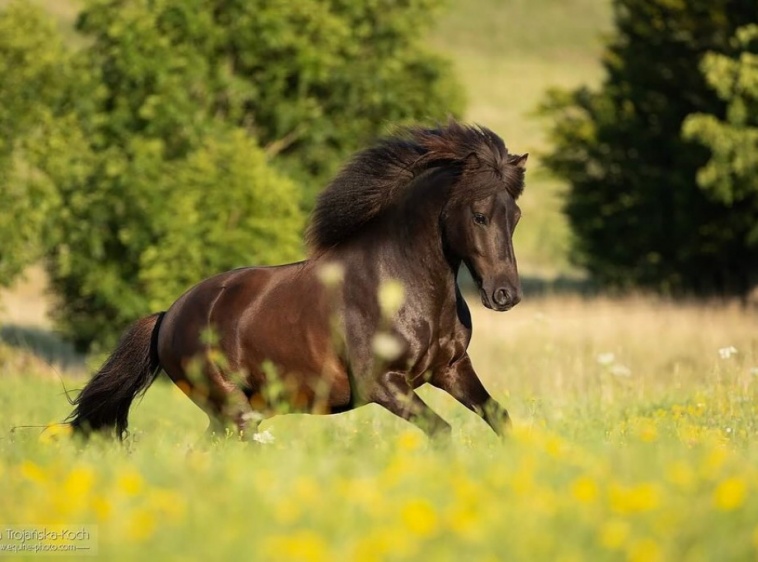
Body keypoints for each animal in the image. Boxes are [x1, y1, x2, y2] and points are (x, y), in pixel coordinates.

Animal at [68, 120, 528, 440]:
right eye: (479, 215)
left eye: (516, 216)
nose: (505, 295)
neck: (400, 288)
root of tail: (167, 317)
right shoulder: (382, 385)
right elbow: (442, 432)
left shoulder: (451, 369)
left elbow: (500, 419)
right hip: (232, 408)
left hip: (240, 412)